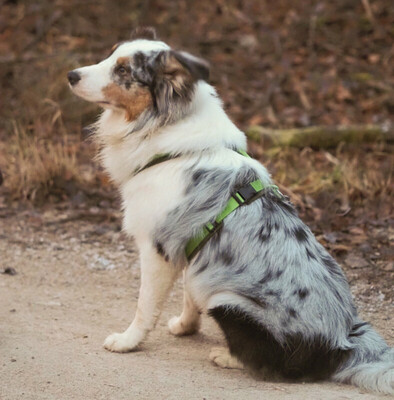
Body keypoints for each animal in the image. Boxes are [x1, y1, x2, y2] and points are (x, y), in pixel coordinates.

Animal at [69, 28, 392, 394]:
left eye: (123, 70)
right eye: (110, 56)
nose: (71, 75)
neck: (167, 135)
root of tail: (343, 343)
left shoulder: (156, 250)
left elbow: (145, 306)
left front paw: (127, 341)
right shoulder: (193, 248)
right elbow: (190, 292)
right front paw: (185, 326)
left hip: (230, 303)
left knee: (274, 365)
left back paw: (226, 356)